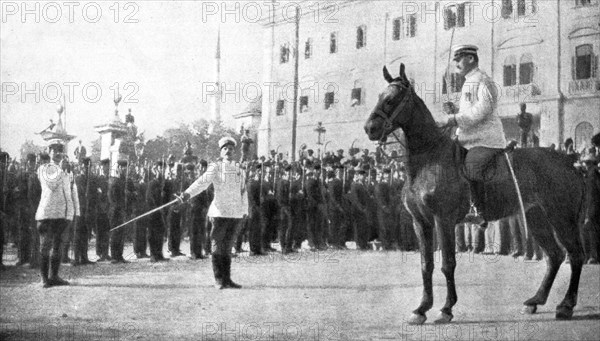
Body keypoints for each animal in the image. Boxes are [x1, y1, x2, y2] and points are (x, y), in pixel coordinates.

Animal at [364, 62, 584, 322]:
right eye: (379, 96)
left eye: (392, 99)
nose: (370, 128)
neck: (429, 159)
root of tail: (569, 163)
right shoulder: (421, 222)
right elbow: (426, 264)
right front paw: (421, 308)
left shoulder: (443, 220)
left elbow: (447, 263)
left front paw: (446, 308)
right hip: (535, 217)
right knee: (555, 255)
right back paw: (535, 301)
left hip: (561, 217)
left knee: (575, 255)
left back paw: (566, 305)